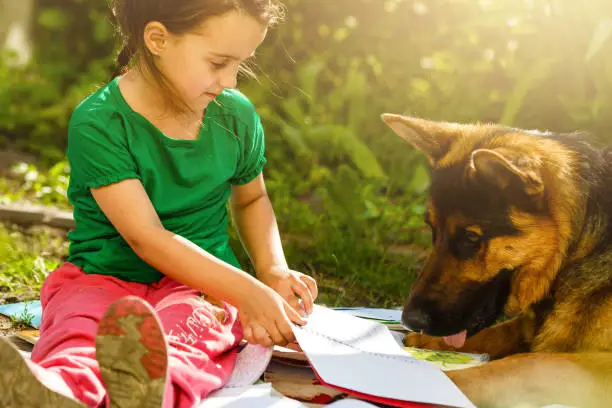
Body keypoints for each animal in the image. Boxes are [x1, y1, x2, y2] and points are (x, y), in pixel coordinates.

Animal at [382, 115, 612, 408]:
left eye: (470, 237)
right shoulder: (521, 328)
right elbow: (491, 334)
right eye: (433, 230)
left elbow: (524, 362)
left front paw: (443, 385)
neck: (579, 244)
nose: (409, 320)